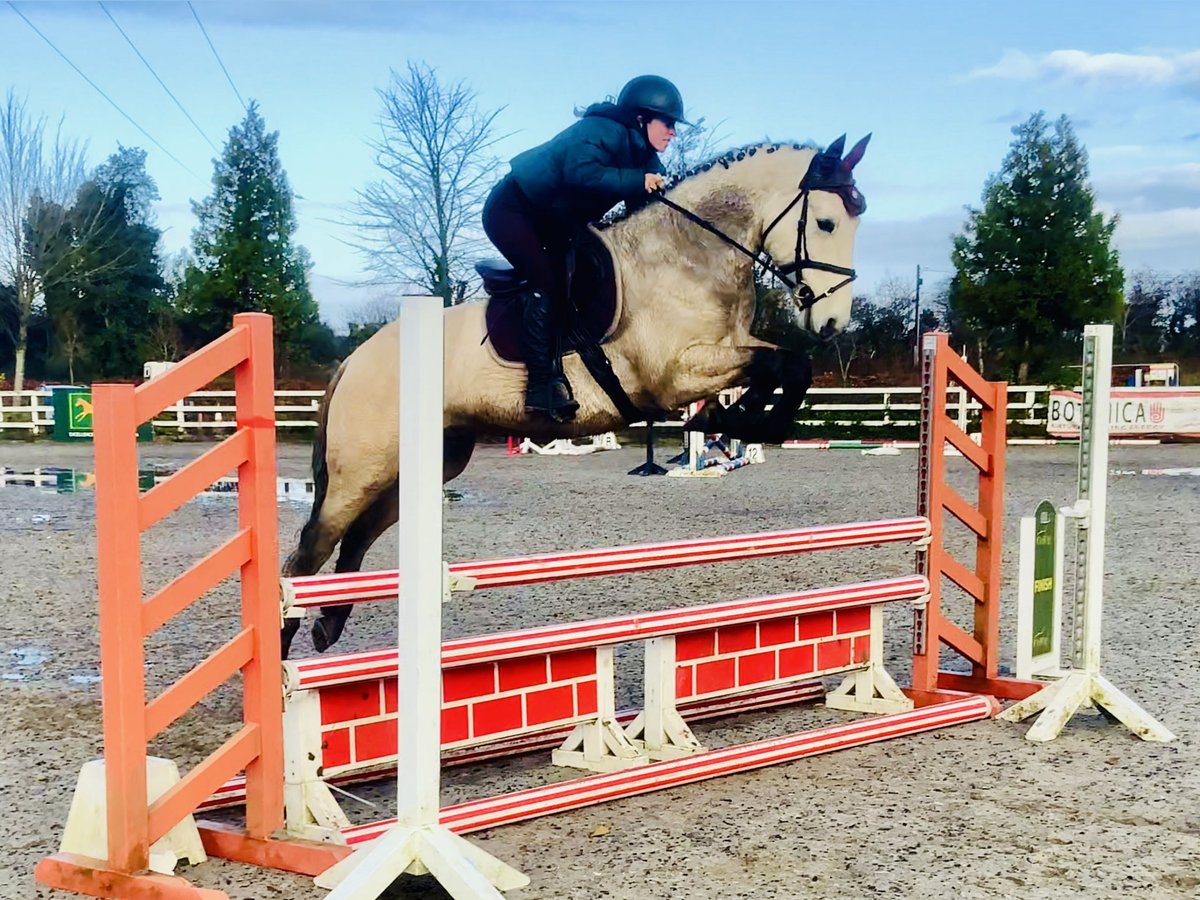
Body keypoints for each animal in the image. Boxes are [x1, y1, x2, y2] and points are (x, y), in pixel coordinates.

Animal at [280, 134, 871, 658]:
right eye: (825, 223)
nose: (832, 324)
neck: (689, 257)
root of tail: (354, 359)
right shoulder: (676, 373)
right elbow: (779, 364)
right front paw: (737, 423)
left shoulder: (725, 350)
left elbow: (789, 365)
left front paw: (744, 423)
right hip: (364, 470)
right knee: (308, 555)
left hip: (424, 466)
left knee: (355, 539)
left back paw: (329, 626)